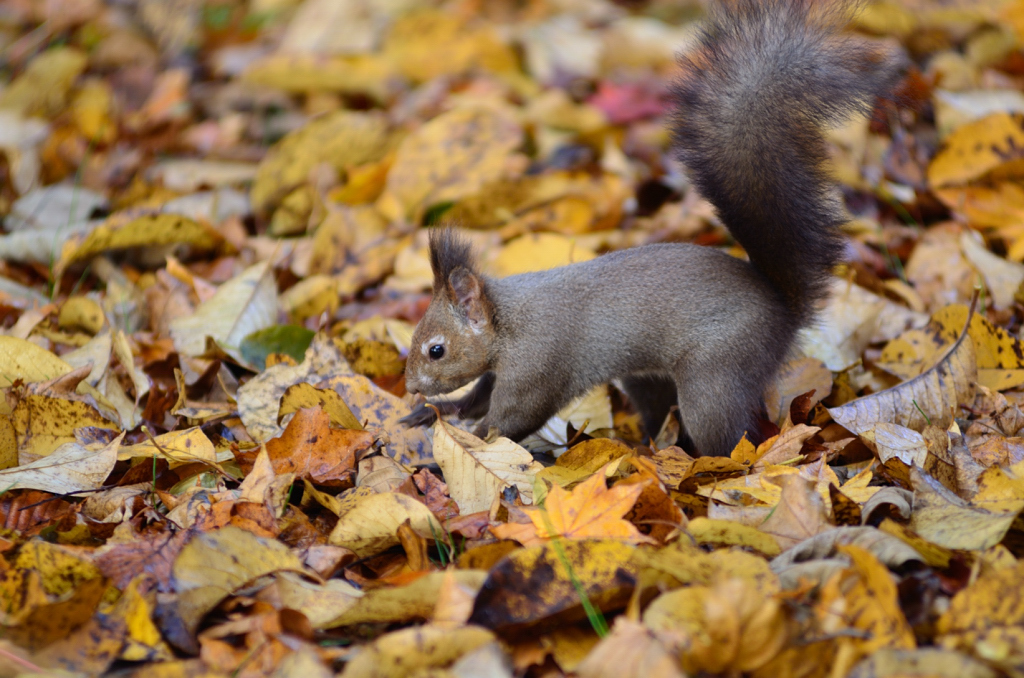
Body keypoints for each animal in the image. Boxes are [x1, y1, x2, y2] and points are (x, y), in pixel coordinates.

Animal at [399, 0, 905, 458]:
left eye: (436, 350)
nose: (410, 387)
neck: (508, 320)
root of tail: (783, 310)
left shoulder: (537, 364)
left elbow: (515, 416)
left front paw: (474, 437)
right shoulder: (503, 367)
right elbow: (482, 391)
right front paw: (438, 412)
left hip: (716, 373)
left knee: (731, 437)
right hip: (649, 379)